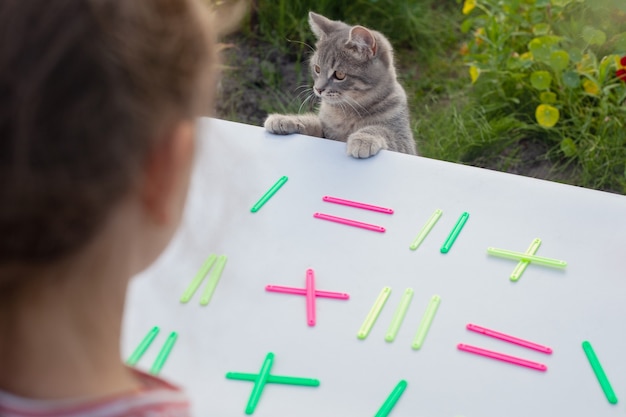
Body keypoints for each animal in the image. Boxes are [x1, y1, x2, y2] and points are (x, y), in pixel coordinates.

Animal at [262, 11, 414, 158]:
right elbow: (313, 123)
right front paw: (286, 119)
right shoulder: (326, 132)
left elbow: (382, 131)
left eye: (339, 75)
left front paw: (364, 139)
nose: (318, 89)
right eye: (317, 69)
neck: (347, 111)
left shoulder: (404, 142)